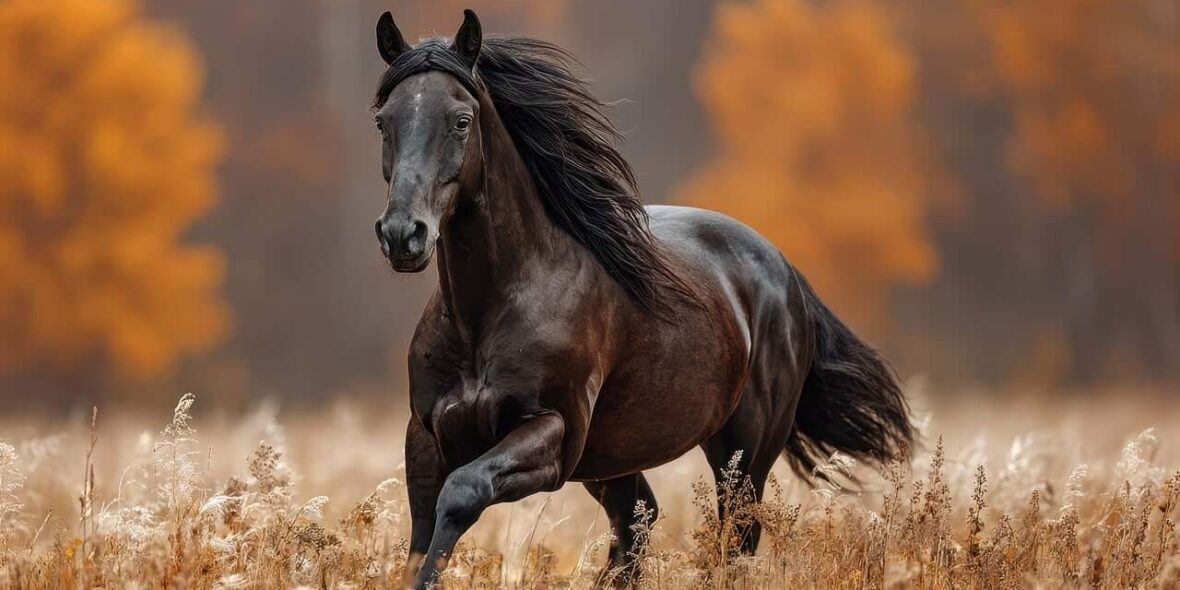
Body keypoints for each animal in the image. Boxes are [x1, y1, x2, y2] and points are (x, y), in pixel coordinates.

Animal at [370, 10, 914, 588]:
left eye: (461, 120)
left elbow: (463, 493)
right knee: (639, 524)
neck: (488, 314)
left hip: (742, 454)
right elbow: (422, 534)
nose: (403, 234)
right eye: (384, 120)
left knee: (733, 540)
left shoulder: (554, 435)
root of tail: (785, 272)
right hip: (616, 459)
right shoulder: (425, 438)